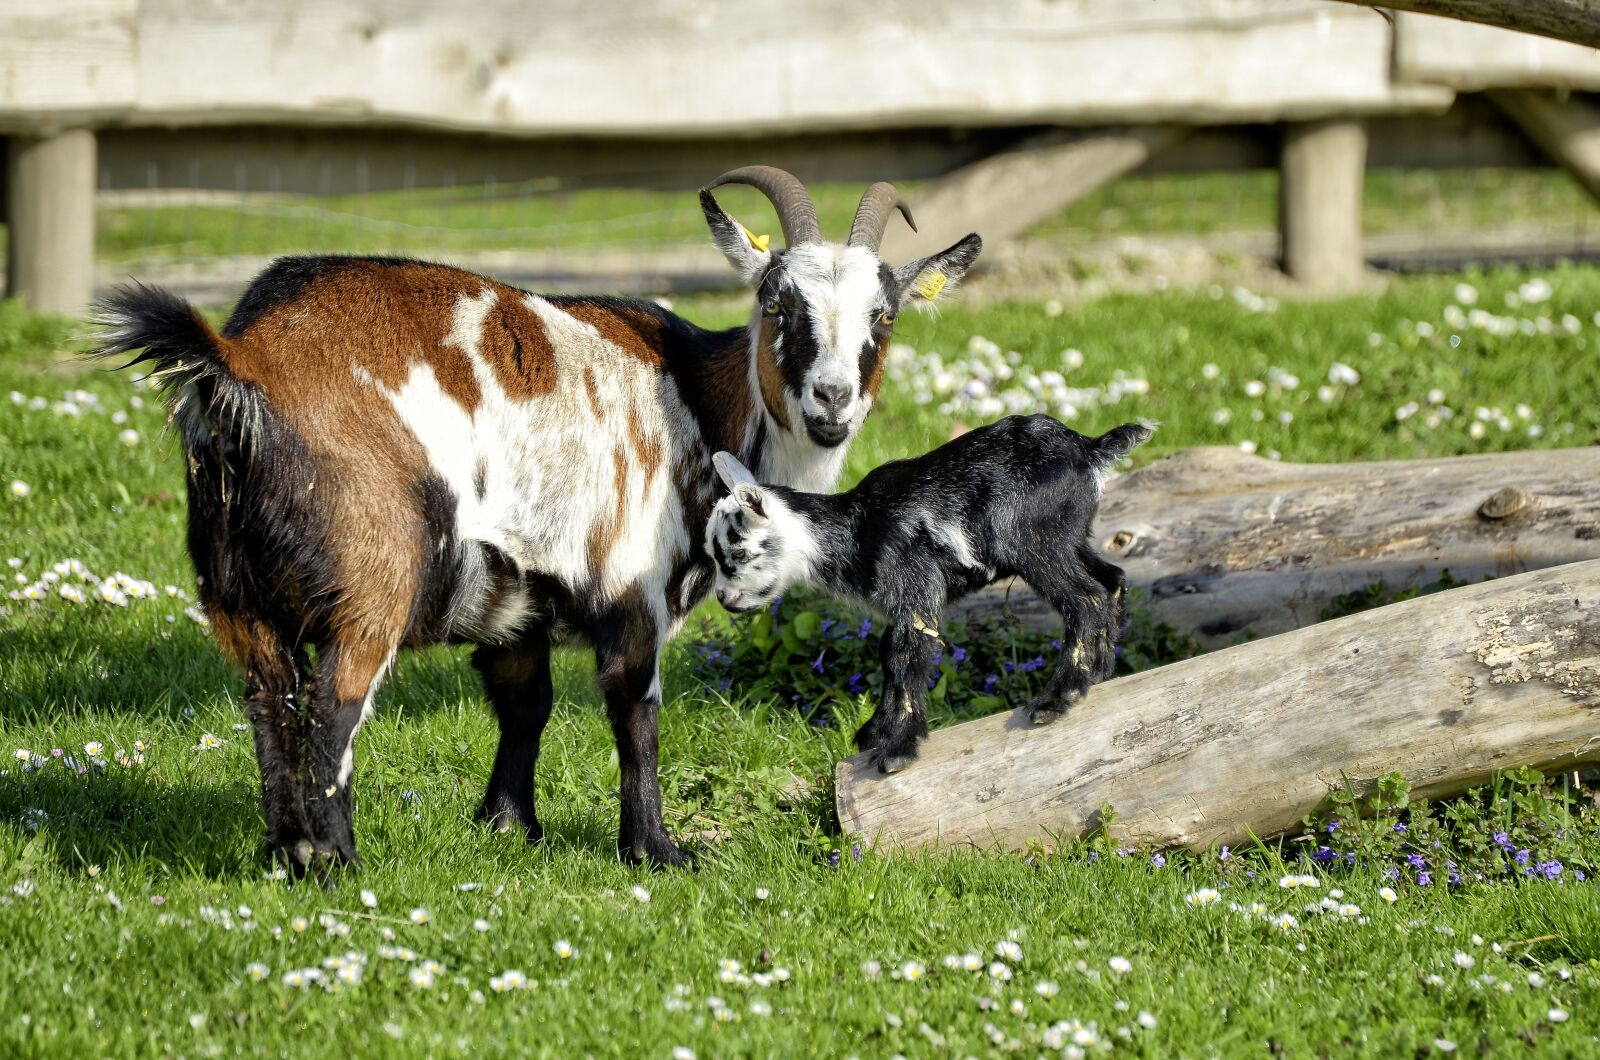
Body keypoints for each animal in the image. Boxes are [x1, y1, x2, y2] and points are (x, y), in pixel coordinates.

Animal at [92, 166, 981, 872]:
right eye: (776, 303)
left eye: (884, 314)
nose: (832, 399)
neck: (700, 398)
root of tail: (241, 365)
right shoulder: (633, 584)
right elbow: (635, 711)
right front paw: (657, 851)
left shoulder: (513, 595)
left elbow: (525, 703)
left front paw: (507, 825)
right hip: (373, 579)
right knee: (331, 705)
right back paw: (337, 860)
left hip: (233, 593)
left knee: (268, 701)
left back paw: (284, 854)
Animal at [705, 416, 1153, 772]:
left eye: (738, 553)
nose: (724, 600)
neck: (855, 529)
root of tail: (1088, 449)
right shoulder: (903, 604)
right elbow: (889, 656)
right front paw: (876, 731)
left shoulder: (915, 587)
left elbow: (908, 660)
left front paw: (898, 751)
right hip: (1069, 537)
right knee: (1111, 580)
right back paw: (1099, 673)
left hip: (1029, 538)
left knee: (1085, 599)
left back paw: (1059, 698)